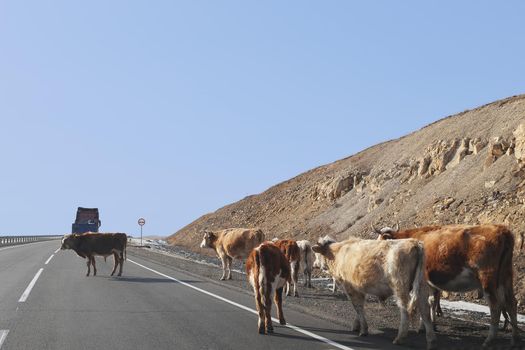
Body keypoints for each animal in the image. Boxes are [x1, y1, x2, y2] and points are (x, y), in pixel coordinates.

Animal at [376, 224, 520, 348]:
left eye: (381, 239)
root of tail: (502, 230)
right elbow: (432, 302)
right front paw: (432, 324)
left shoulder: (423, 281)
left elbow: (426, 303)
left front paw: (423, 327)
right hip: (506, 277)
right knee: (512, 303)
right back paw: (514, 339)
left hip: (488, 279)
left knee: (495, 307)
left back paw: (489, 340)